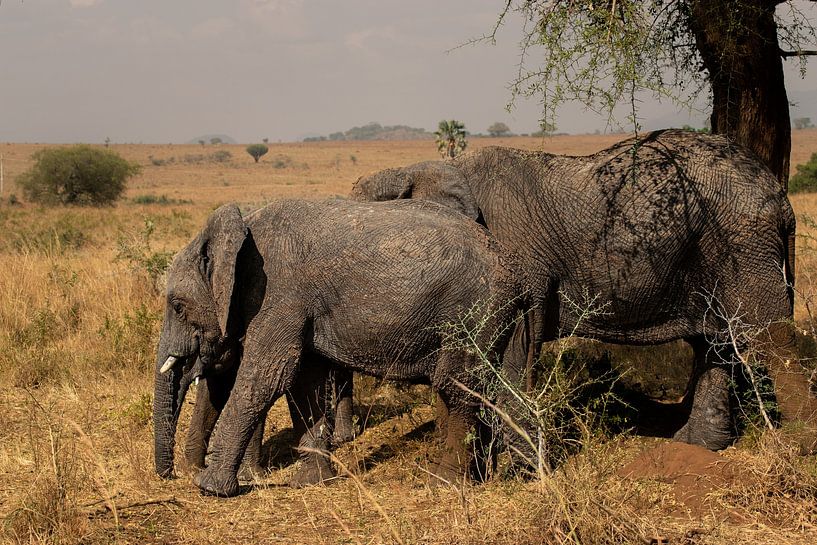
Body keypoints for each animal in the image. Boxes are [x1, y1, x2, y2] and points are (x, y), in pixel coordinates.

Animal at [153, 198, 530, 497]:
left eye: (177, 306)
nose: (171, 476)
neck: (242, 230)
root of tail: (513, 267)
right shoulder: (300, 305)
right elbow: (306, 382)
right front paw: (310, 483)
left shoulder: (280, 294)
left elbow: (268, 377)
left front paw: (209, 488)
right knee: (483, 389)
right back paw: (480, 477)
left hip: (474, 311)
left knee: (457, 388)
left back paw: (445, 484)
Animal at [351, 128, 817, 452]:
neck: (425, 166)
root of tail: (780, 197)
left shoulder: (515, 259)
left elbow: (514, 351)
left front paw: (514, 465)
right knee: (717, 339)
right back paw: (697, 446)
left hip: (742, 240)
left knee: (767, 333)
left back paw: (797, 447)